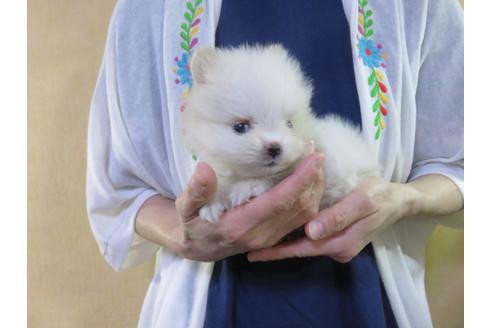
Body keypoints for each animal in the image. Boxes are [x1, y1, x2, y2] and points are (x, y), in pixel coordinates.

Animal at [183, 44, 378, 223]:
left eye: (289, 124)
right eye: (240, 127)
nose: (275, 147)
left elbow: (278, 175)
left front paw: (248, 187)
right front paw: (213, 202)